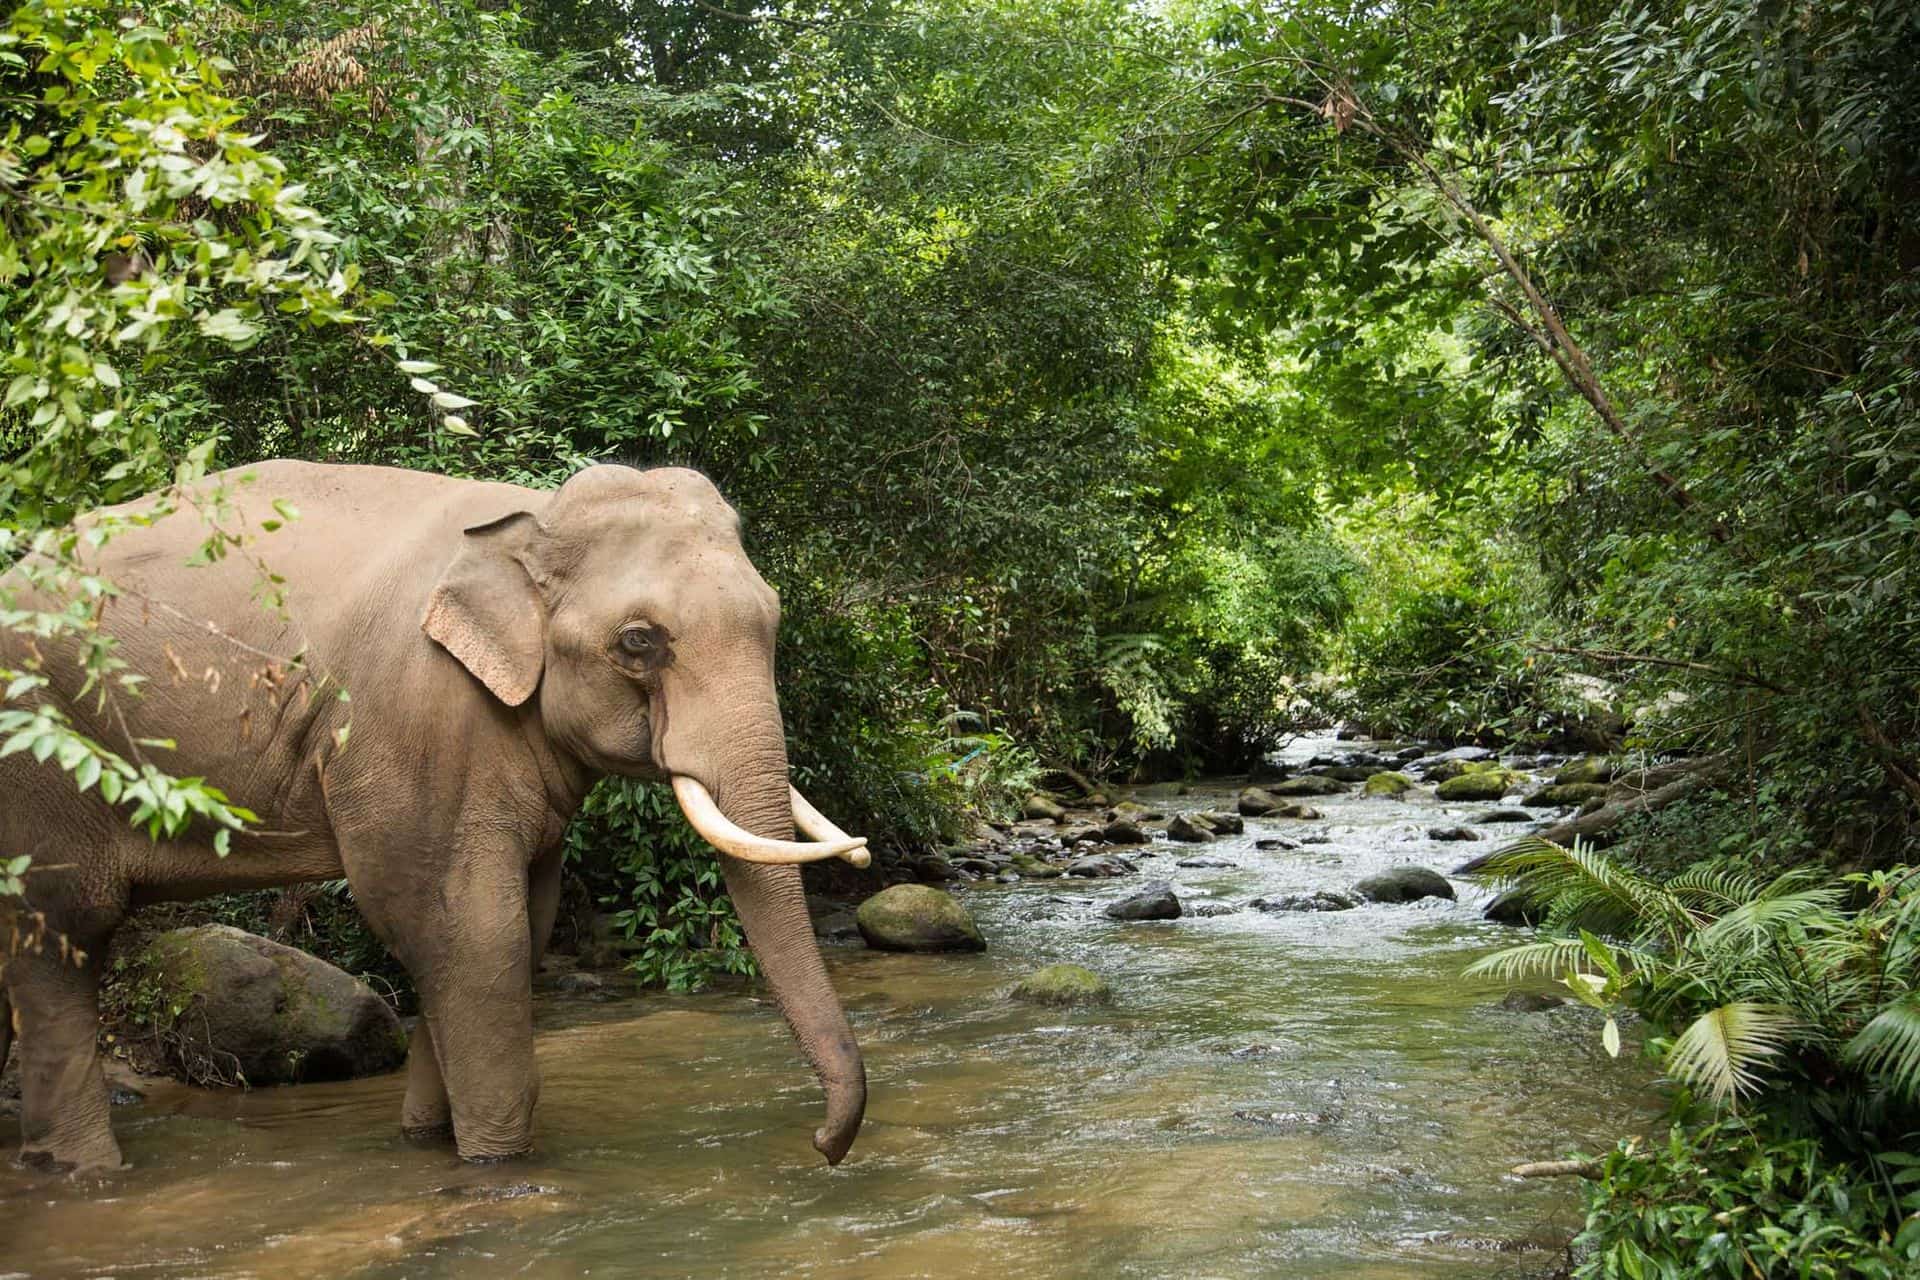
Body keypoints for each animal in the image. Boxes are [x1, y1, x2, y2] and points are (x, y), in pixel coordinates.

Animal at [0, 460, 870, 1172]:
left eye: (775, 615)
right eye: (638, 642)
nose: (821, 1145)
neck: (528, 520)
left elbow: (518, 920)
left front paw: (423, 1142)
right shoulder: (417, 724)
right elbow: (465, 924)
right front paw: (497, 1168)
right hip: (41, 756)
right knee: (61, 936)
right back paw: (87, 1171)